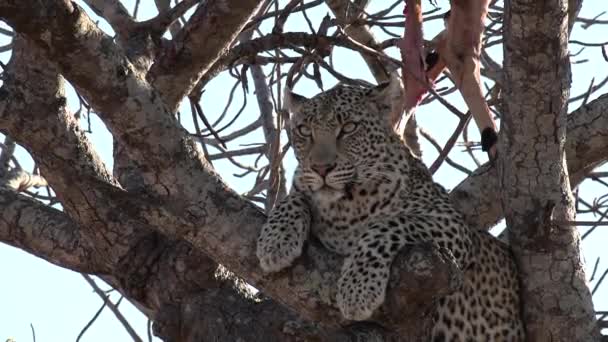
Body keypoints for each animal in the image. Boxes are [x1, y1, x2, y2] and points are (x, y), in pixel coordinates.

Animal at [254, 78, 524, 342]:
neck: (343, 208)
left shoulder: (451, 224)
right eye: (304, 131)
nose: (321, 168)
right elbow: (294, 196)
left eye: (349, 128)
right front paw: (275, 242)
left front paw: (357, 289)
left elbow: (386, 226)